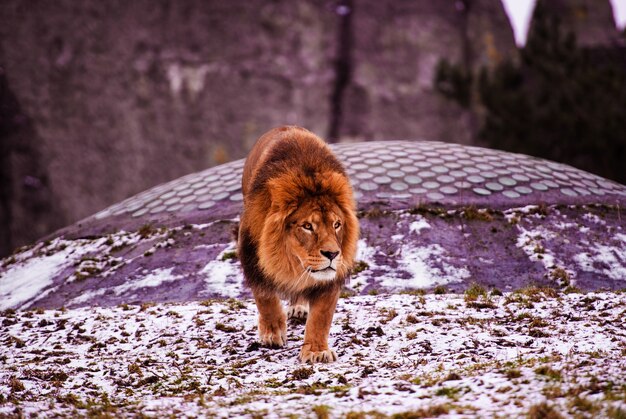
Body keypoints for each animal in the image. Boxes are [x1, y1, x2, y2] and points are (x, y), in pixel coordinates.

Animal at [236, 125, 358, 364]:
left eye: (337, 224)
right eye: (307, 226)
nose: (332, 254)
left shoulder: (330, 278)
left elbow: (321, 315)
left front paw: (316, 351)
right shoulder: (251, 254)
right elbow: (265, 297)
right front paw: (272, 332)